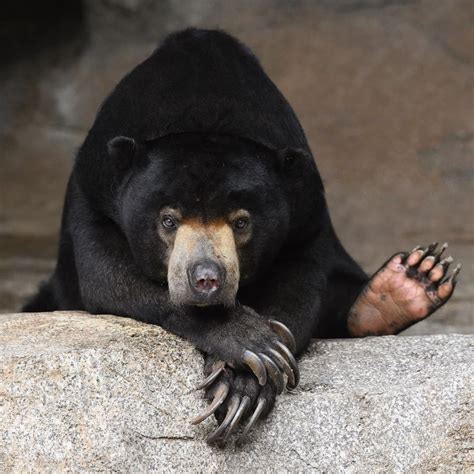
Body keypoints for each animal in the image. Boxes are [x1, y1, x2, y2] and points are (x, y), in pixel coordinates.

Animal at [24, 28, 462, 444]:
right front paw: (250, 343)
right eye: (168, 220)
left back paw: (410, 282)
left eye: (241, 222)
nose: (206, 279)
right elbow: (107, 274)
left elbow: (300, 284)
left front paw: (243, 385)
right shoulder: (94, 190)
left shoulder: (305, 207)